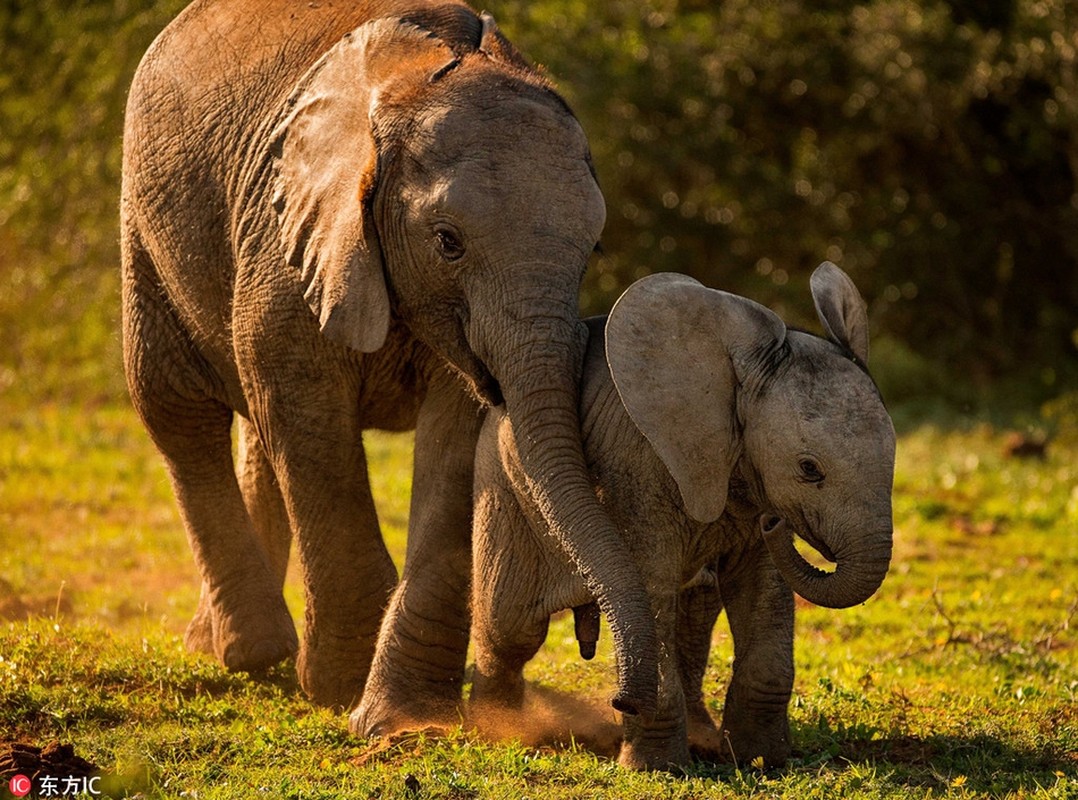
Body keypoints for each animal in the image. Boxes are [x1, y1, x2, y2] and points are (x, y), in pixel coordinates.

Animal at [118, 0, 655, 737]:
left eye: (592, 249)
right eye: (448, 242)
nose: (620, 696)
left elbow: (455, 442)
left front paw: (404, 721)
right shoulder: (291, 228)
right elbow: (305, 412)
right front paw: (338, 687)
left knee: (251, 426)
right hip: (144, 215)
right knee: (176, 409)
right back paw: (252, 652)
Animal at [467, 263, 896, 771]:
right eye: (809, 469)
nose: (777, 523)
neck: (735, 379)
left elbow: (763, 591)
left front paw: (763, 761)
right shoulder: (636, 466)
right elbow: (651, 587)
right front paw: (655, 768)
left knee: (697, 609)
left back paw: (701, 736)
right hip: (504, 487)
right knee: (509, 626)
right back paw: (496, 732)